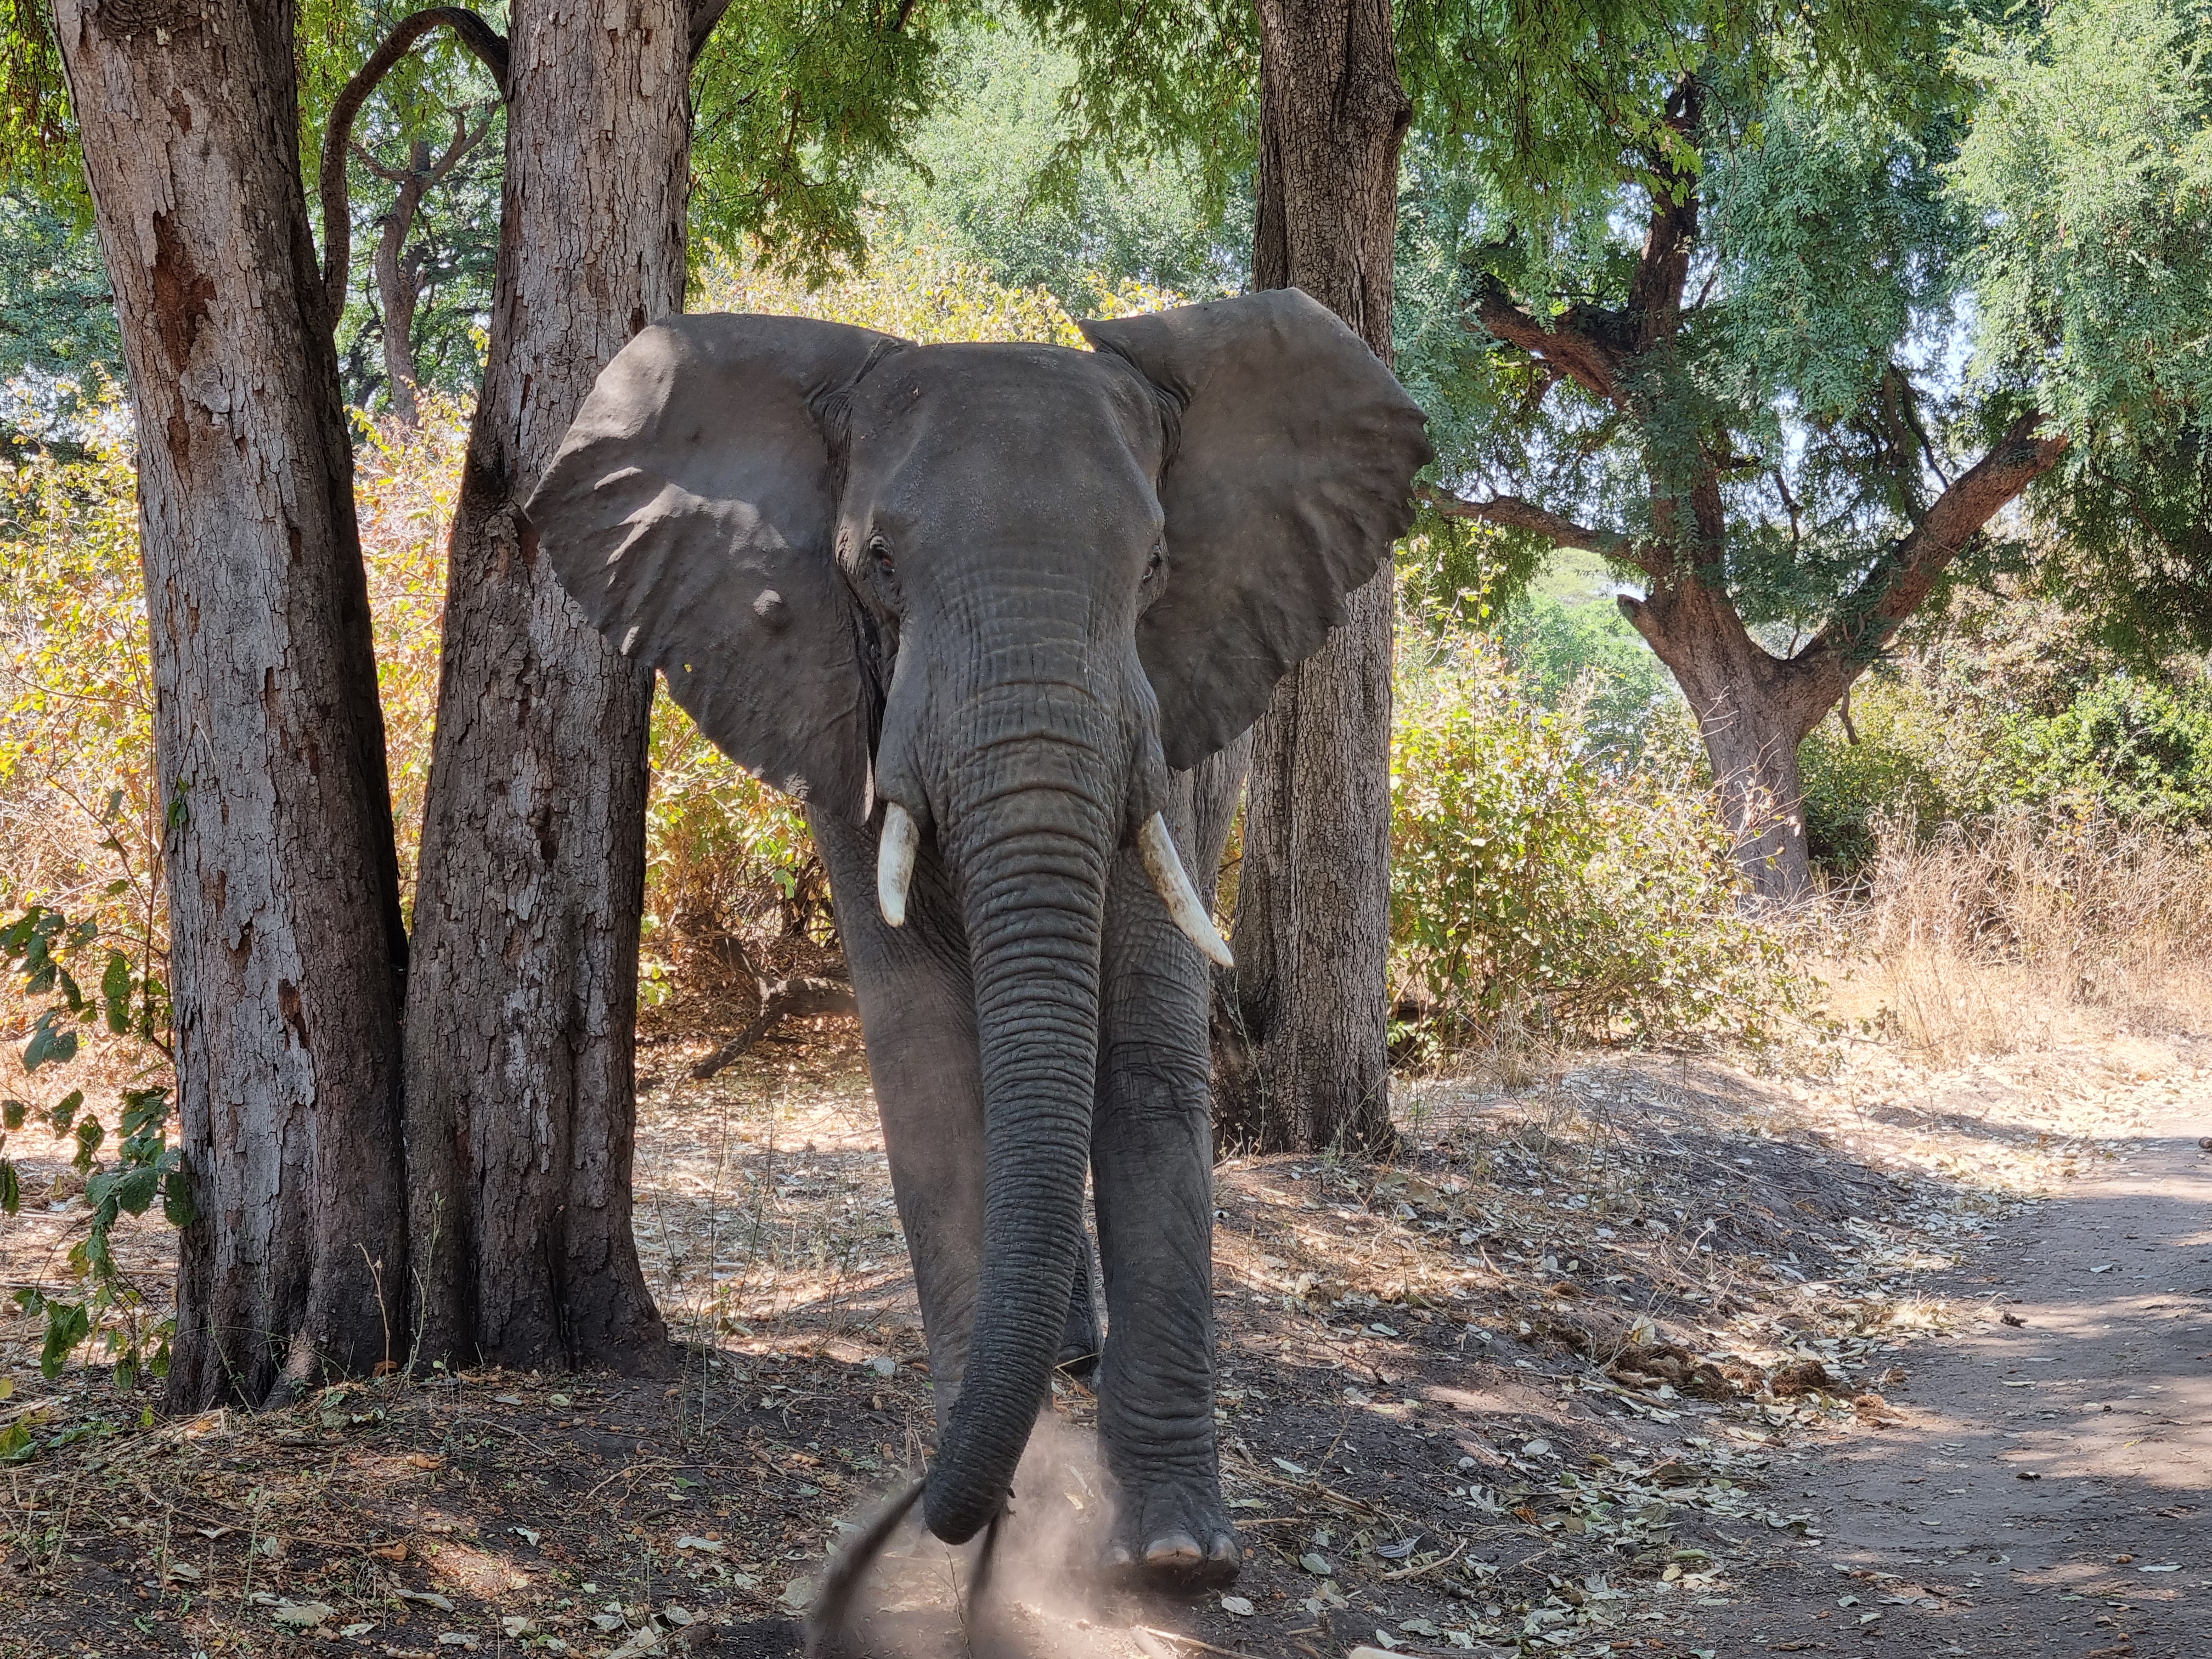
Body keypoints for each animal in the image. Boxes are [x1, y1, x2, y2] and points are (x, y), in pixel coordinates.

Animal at [526, 288, 1430, 1591]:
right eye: (877, 563)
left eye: (1156, 566)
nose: (910, 1514)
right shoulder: (833, 696)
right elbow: (926, 1060)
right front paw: (995, 1507)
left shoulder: (1169, 718)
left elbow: (1145, 1061)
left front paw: (1177, 1557)